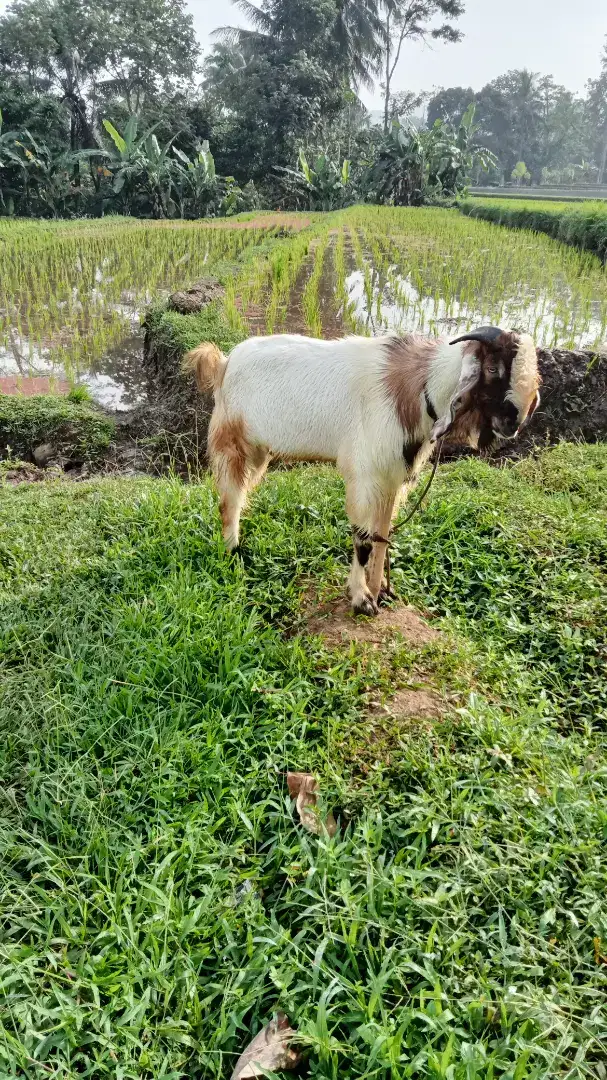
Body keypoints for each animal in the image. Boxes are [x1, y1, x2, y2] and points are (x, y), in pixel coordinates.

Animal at [184, 324, 537, 617]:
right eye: (492, 368)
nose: (514, 423)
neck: (420, 387)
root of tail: (224, 363)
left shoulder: (391, 477)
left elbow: (383, 536)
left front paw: (380, 591)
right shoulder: (366, 474)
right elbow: (364, 540)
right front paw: (361, 599)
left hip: (258, 450)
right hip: (234, 442)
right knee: (230, 499)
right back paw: (232, 551)